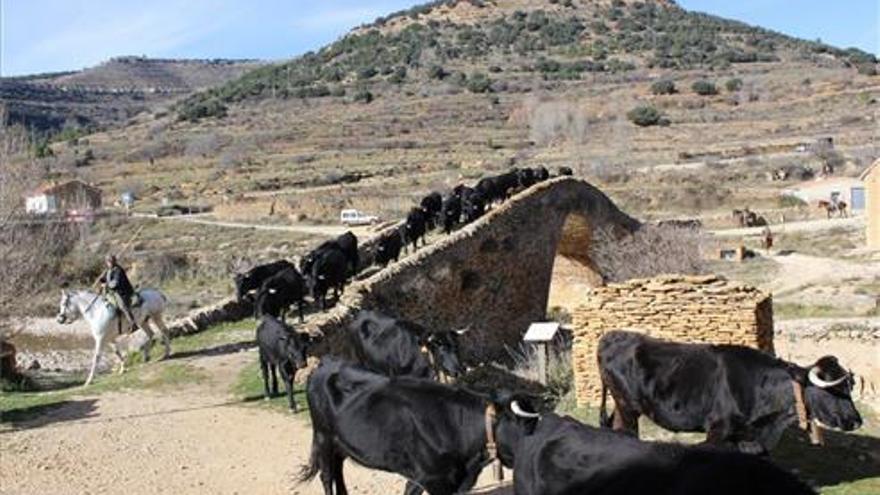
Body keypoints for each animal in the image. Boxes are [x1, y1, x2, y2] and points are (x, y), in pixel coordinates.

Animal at [300, 358, 540, 495]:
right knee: (327, 476)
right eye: (526, 424)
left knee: (338, 470)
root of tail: (325, 365)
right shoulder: (433, 480)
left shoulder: (431, 479)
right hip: (323, 436)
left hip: (340, 442)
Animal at [600, 332, 860, 456]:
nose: (857, 421)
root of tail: (610, 336)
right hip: (626, 405)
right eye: (834, 391)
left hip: (623, 405)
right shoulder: (717, 432)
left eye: (849, 388)